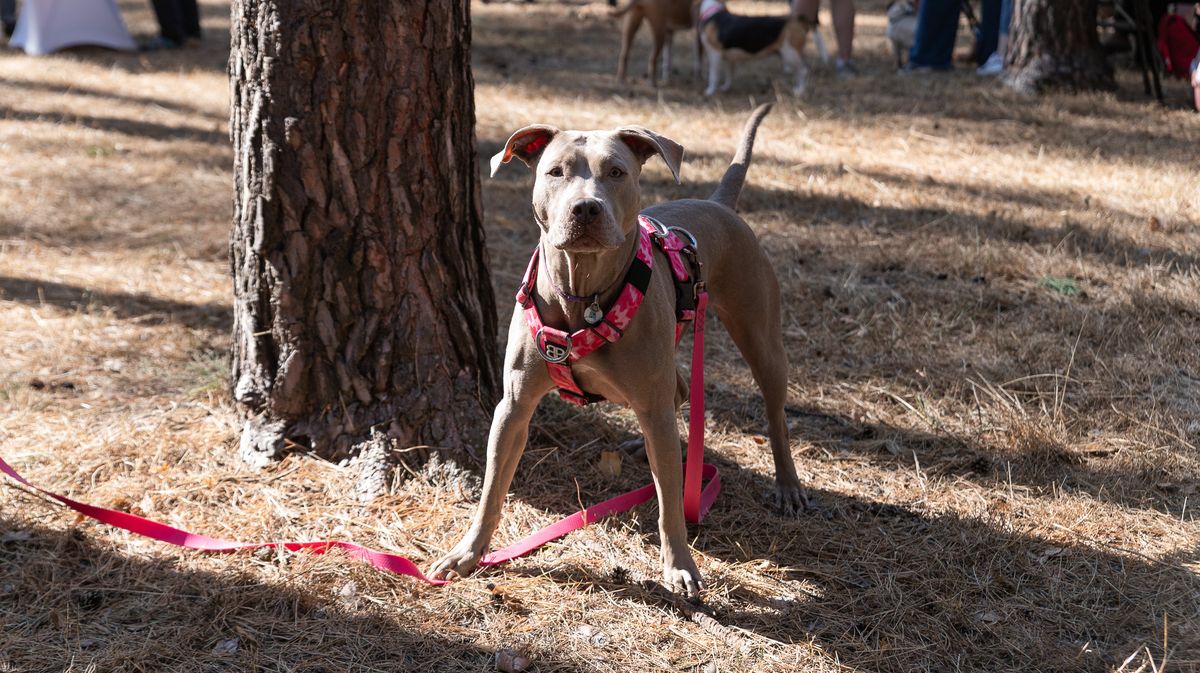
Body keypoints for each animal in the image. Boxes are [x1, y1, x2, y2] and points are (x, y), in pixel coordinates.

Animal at [427, 106, 801, 597]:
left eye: (617, 172)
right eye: (555, 171)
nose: (586, 207)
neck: (581, 291)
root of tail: (718, 204)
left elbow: (671, 503)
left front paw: (679, 566)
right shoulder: (513, 408)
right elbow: (491, 490)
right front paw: (467, 554)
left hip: (759, 335)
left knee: (770, 414)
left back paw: (788, 485)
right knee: (677, 392)